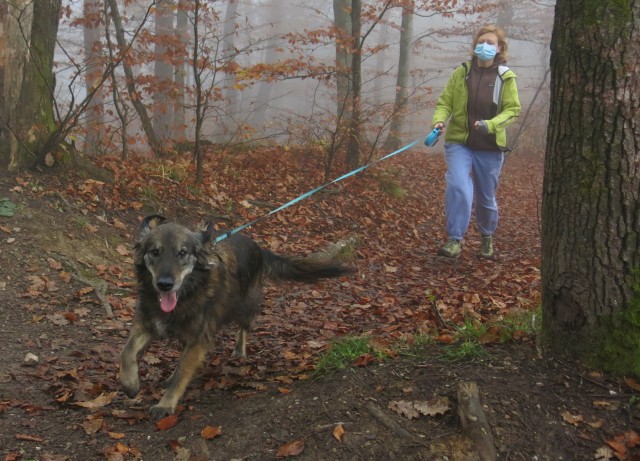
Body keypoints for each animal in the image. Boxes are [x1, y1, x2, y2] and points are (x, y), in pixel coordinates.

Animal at [117, 214, 352, 418]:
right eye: (154, 252)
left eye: (182, 253)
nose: (164, 284)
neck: (188, 292)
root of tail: (258, 247)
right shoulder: (146, 324)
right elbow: (126, 352)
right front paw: (130, 384)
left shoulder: (198, 339)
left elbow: (181, 373)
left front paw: (165, 404)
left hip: (245, 306)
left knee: (244, 328)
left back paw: (239, 350)